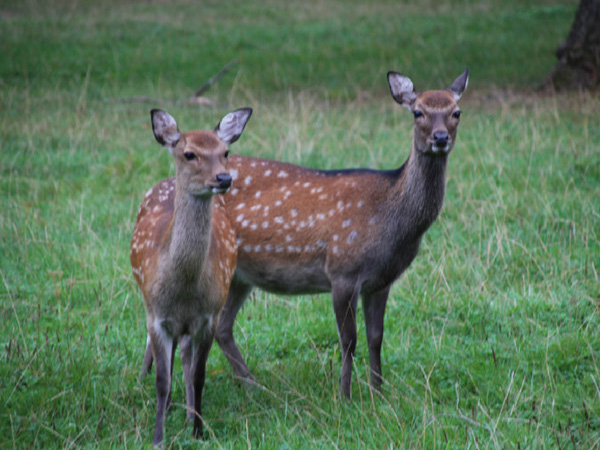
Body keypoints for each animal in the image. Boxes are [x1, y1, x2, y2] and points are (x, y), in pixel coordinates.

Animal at [130, 106, 252, 446]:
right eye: (189, 154)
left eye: (225, 152)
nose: (223, 178)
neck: (183, 287)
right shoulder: (157, 316)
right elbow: (161, 379)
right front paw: (158, 437)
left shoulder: (208, 315)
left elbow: (198, 374)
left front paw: (197, 429)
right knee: (168, 355)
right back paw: (166, 402)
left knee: (184, 356)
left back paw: (185, 413)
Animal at [141, 68, 468, 400]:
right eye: (418, 112)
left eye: (456, 112)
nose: (440, 138)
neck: (392, 219)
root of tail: (162, 184)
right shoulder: (343, 269)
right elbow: (349, 340)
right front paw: (345, 396)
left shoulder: (381, 281)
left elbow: (376, 337)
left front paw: (378, 392)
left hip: (237, 277)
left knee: (221, 327)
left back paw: (252, 385)